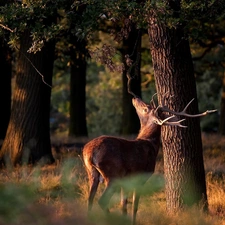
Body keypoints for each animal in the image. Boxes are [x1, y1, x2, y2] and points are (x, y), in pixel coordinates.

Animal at [81, 80, 215, 224]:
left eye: (146, 108)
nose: (135, 98)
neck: (151, 144)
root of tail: (89, 153)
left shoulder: (127, 180)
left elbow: (124, 205)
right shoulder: (142, 175)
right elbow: (134, 206)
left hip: (92, 173)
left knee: (89, 200)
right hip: (112, 173)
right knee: (101, 200)